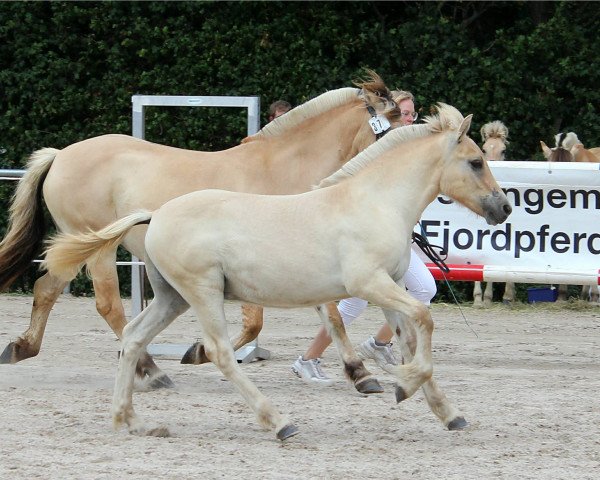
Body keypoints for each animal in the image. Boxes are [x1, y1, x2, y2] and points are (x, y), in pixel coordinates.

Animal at [43, 103, 510, 440]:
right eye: (475, 162)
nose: (503, 208)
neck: (374, 201)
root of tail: (156, 214)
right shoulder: (369, 284)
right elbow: (423, 321)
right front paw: (399, 383)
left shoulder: (391, 286)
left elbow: (411, 338)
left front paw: (446, 412)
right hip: (202, 292)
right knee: (217, 351)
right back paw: (278, 421)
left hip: (172, 298)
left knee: (133, 336)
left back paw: (132, 420)